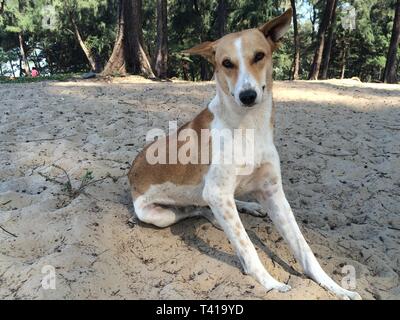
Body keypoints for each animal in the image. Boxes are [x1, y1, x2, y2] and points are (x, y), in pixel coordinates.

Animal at [129, 9, 362, 300]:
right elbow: (247, 246)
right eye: (226, 63)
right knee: (194, 209)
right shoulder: (217, 192)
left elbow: (304, 248)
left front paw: (335, 287)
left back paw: (247, 207)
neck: (249, 126)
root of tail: (131, 173)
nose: (247, 95)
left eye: (259, 56)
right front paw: (270, 282)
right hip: (157, 215)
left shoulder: (273, 191)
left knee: (206, 206)